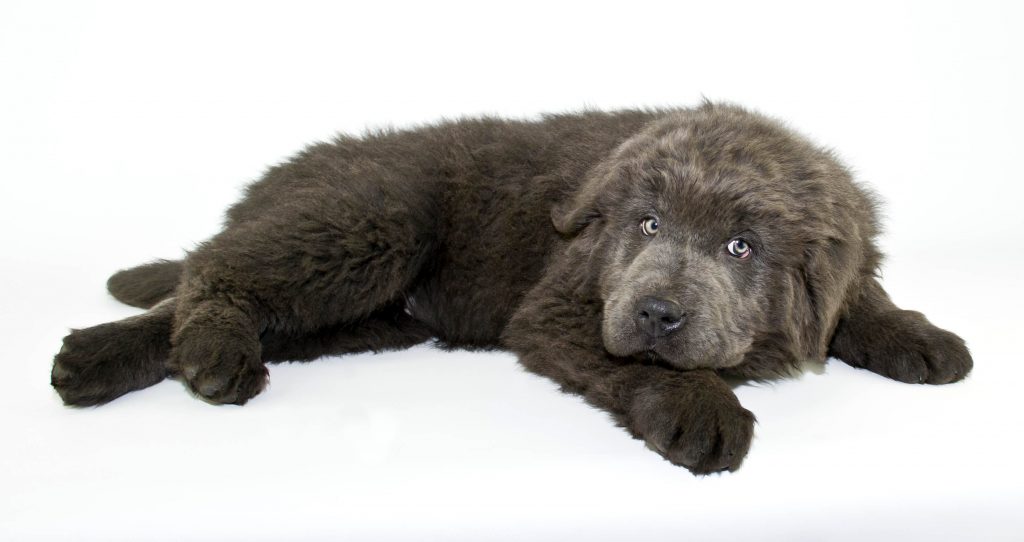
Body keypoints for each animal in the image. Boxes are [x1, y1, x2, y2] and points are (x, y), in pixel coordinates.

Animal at [49, 102, 974, 473]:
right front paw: (701, 409)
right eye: (646, 225)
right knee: (215, 268)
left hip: (371, 300)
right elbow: (642, 367)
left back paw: (105, 357)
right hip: (371, 218)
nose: (656, 310)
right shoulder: (565, 309)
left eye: (741, 246)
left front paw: (920, 338)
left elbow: (860, 298)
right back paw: (197, 354)